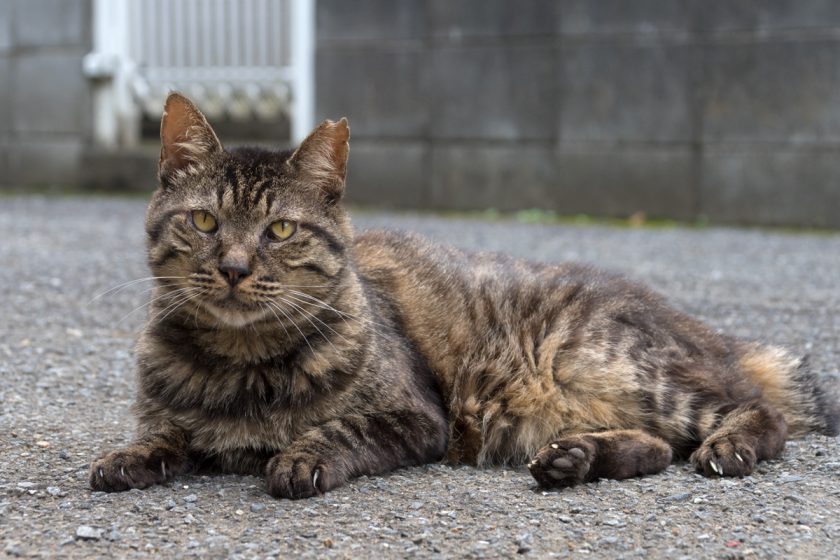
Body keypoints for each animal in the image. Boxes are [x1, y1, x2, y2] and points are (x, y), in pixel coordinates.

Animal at [88, 94, 836, 500]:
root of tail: (697, 326)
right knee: (656, 447)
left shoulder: (417, 417)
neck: (239, 366)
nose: (235, 267)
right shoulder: (169, 414)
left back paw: (726, 447)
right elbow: (161, 433)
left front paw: (300, 456)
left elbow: (337, 429)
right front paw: (129, 456)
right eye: (204, 222)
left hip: (607, 359)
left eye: (280, 230)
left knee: (755, 411)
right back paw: (576, 459)